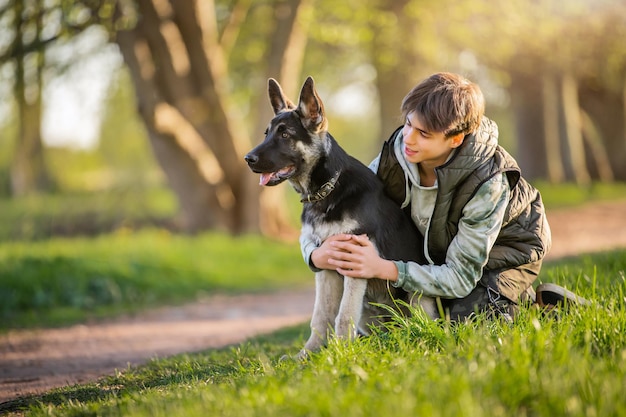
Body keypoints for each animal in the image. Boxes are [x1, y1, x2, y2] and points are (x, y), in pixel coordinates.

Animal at [243, 75, 434, 358]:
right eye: (266, 134)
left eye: (285, 135)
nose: (248, 158)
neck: (327, 190)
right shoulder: (325, 265)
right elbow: (321, 316)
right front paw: (308, 355)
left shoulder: (354, 262)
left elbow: (343, 316)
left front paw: (342, 353)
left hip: (419, 298)